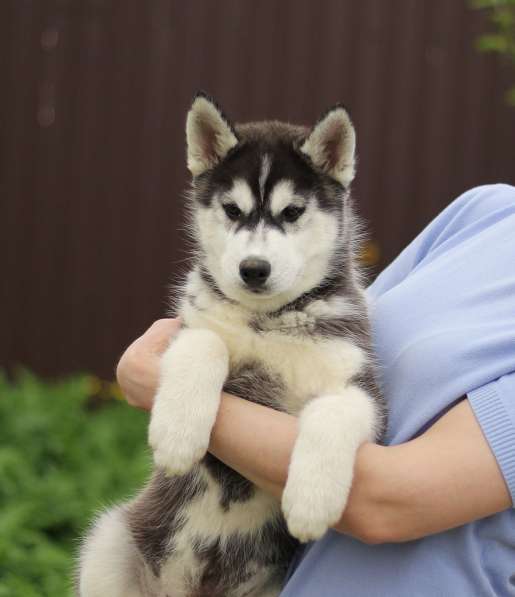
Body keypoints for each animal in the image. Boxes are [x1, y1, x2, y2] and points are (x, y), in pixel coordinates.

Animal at [79, 93, 388, 596]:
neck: (268, 321)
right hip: (109, 540)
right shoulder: (183, 327)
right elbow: (207, 343)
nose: (253, 268)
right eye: (231, 209)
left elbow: (334, 412)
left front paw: (311, 501)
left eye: (292, 212)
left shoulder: (362, 386)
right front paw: (178, 435)